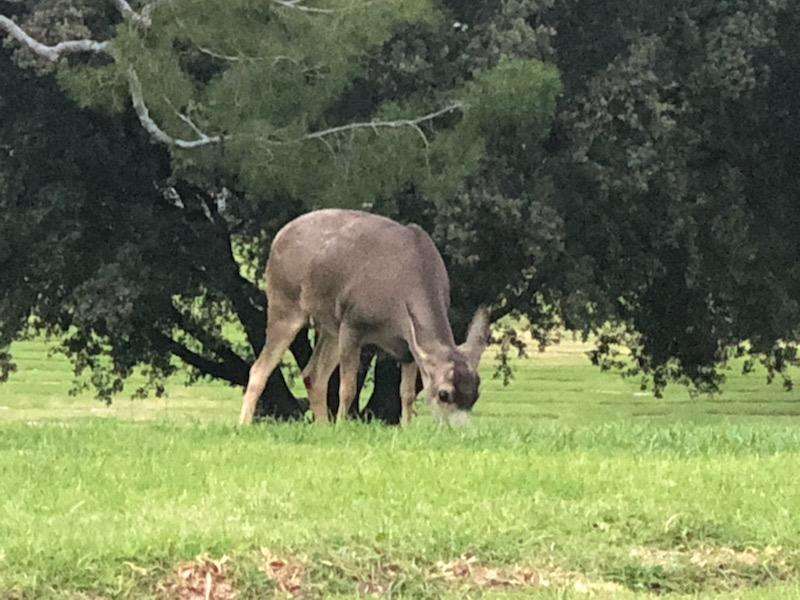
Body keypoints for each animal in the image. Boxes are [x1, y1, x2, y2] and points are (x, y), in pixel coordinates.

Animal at [238, 211, 490, 426]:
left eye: (476, 394)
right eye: (444, 393)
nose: (459, 431)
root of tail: (278, 237)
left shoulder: (407, 348)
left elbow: (407, 394)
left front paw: (406, 427)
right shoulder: (353, 324)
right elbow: (347, 388)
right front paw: (341, 426)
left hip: (330, 325)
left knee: (313, 374)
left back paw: (322, 426)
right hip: (285, 302)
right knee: (260, 368)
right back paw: (243, 424)